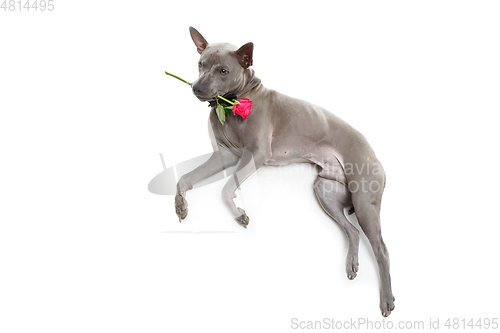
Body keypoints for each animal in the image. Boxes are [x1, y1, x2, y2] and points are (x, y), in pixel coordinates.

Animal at [174, 27, 396, 316]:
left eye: (223, 70)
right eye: (200, 64)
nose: (196, 87)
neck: (231, 104)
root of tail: (374, 153)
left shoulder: (256, 155)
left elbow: (226, 188)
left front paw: (240, 215)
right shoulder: (224, 156)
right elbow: (184, 179)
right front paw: (180, 205)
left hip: (364, 202)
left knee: (381, 249)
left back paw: (387, 299)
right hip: (325, 191)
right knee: (353, 231)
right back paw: (352, 264)